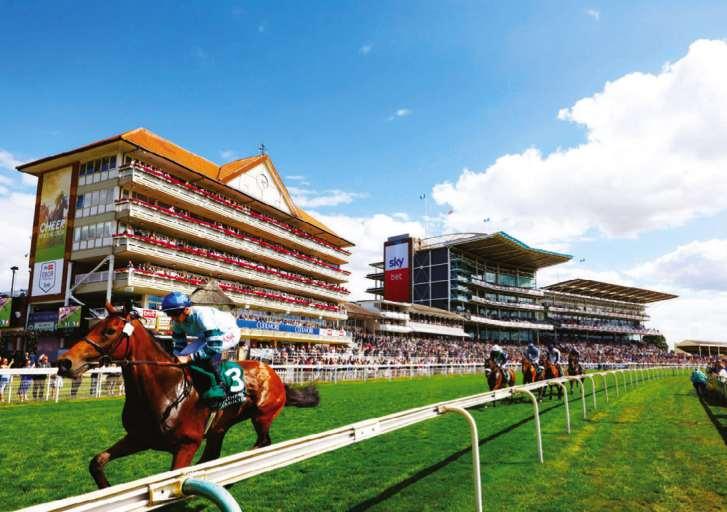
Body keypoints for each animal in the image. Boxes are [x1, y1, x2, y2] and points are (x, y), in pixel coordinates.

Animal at [57, 303, 319, 489]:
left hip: (262, 416)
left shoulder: (187, 445)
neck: (165, 388)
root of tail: (274, 375)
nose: (64, 362)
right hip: (219, 427)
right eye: (92, 328)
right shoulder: (139, 437)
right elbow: (97, 462)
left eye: (110, 331)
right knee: (214, 454)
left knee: (263, 442)